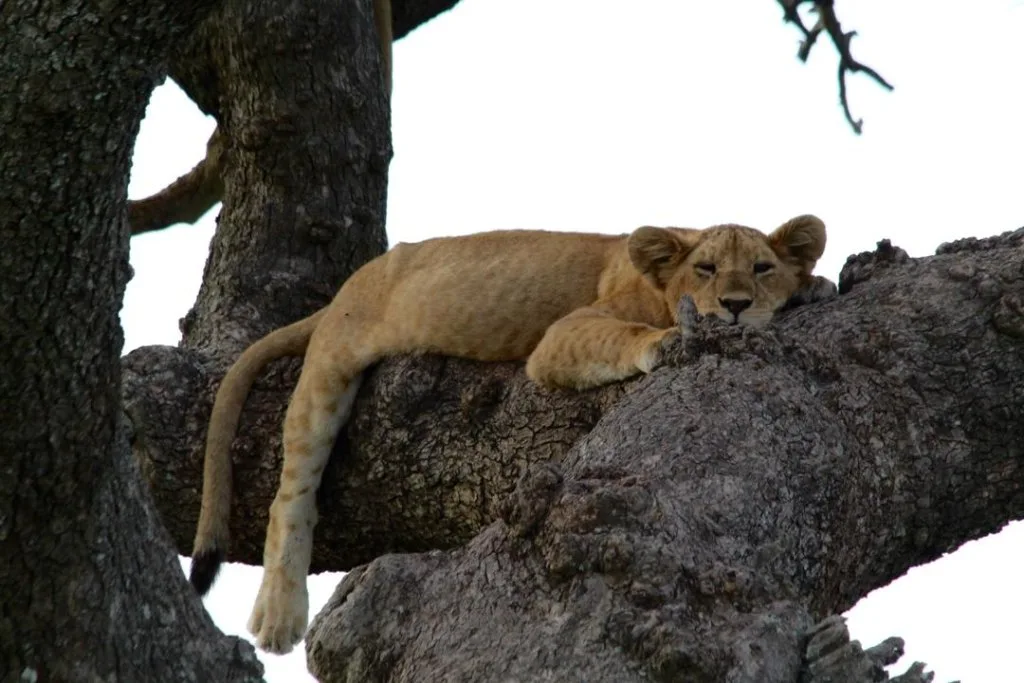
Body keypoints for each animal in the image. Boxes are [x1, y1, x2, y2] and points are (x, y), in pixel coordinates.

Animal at [189, 215, 827, 653]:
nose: (736, 305)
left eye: (762, 269)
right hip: (329, 366)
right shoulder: (560, 337)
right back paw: (279, 613)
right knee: (291, 491)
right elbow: (626, 335)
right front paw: (669, 341)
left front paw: (815, 285)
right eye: (707, 269)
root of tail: (346, 287)